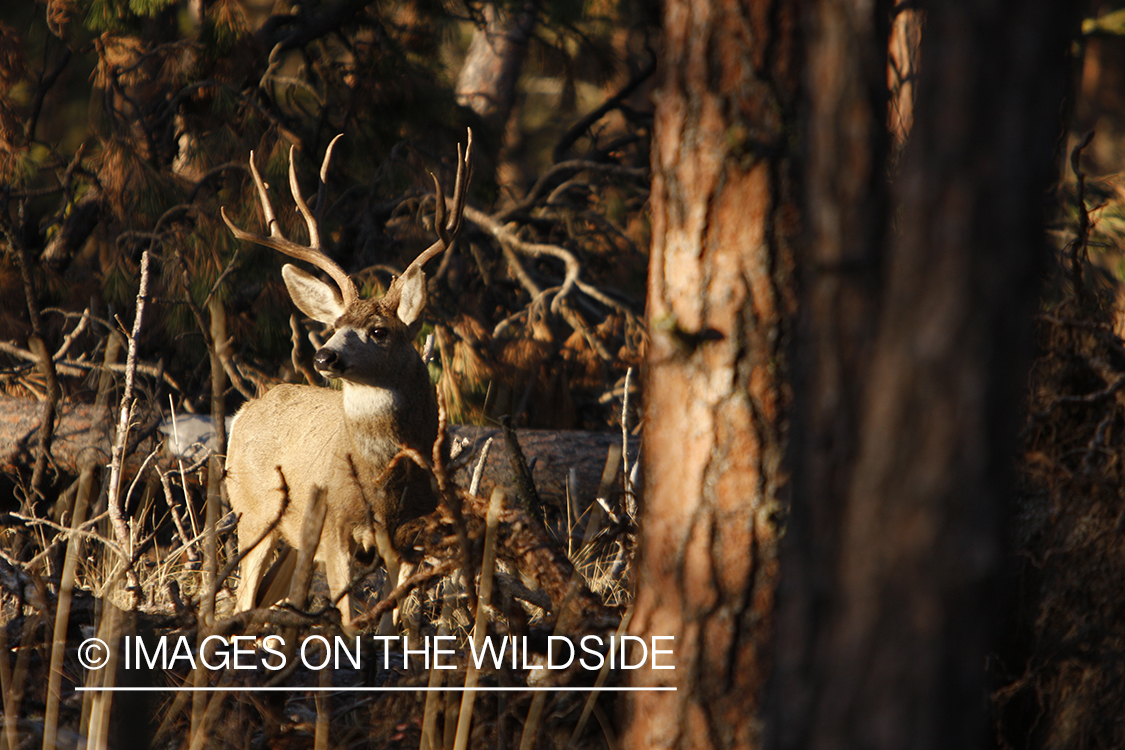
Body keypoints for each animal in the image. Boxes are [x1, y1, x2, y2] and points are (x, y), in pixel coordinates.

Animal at [221, 132, 472, 630]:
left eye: (378, 331)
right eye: (335, 325)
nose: (324, 355)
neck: (382, 487)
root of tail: (244, 411)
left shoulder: (411, 537)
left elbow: (392, 620)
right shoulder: (336, 529)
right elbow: (351, 619)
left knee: (269, 598)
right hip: (254, 511)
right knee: (243, 598)